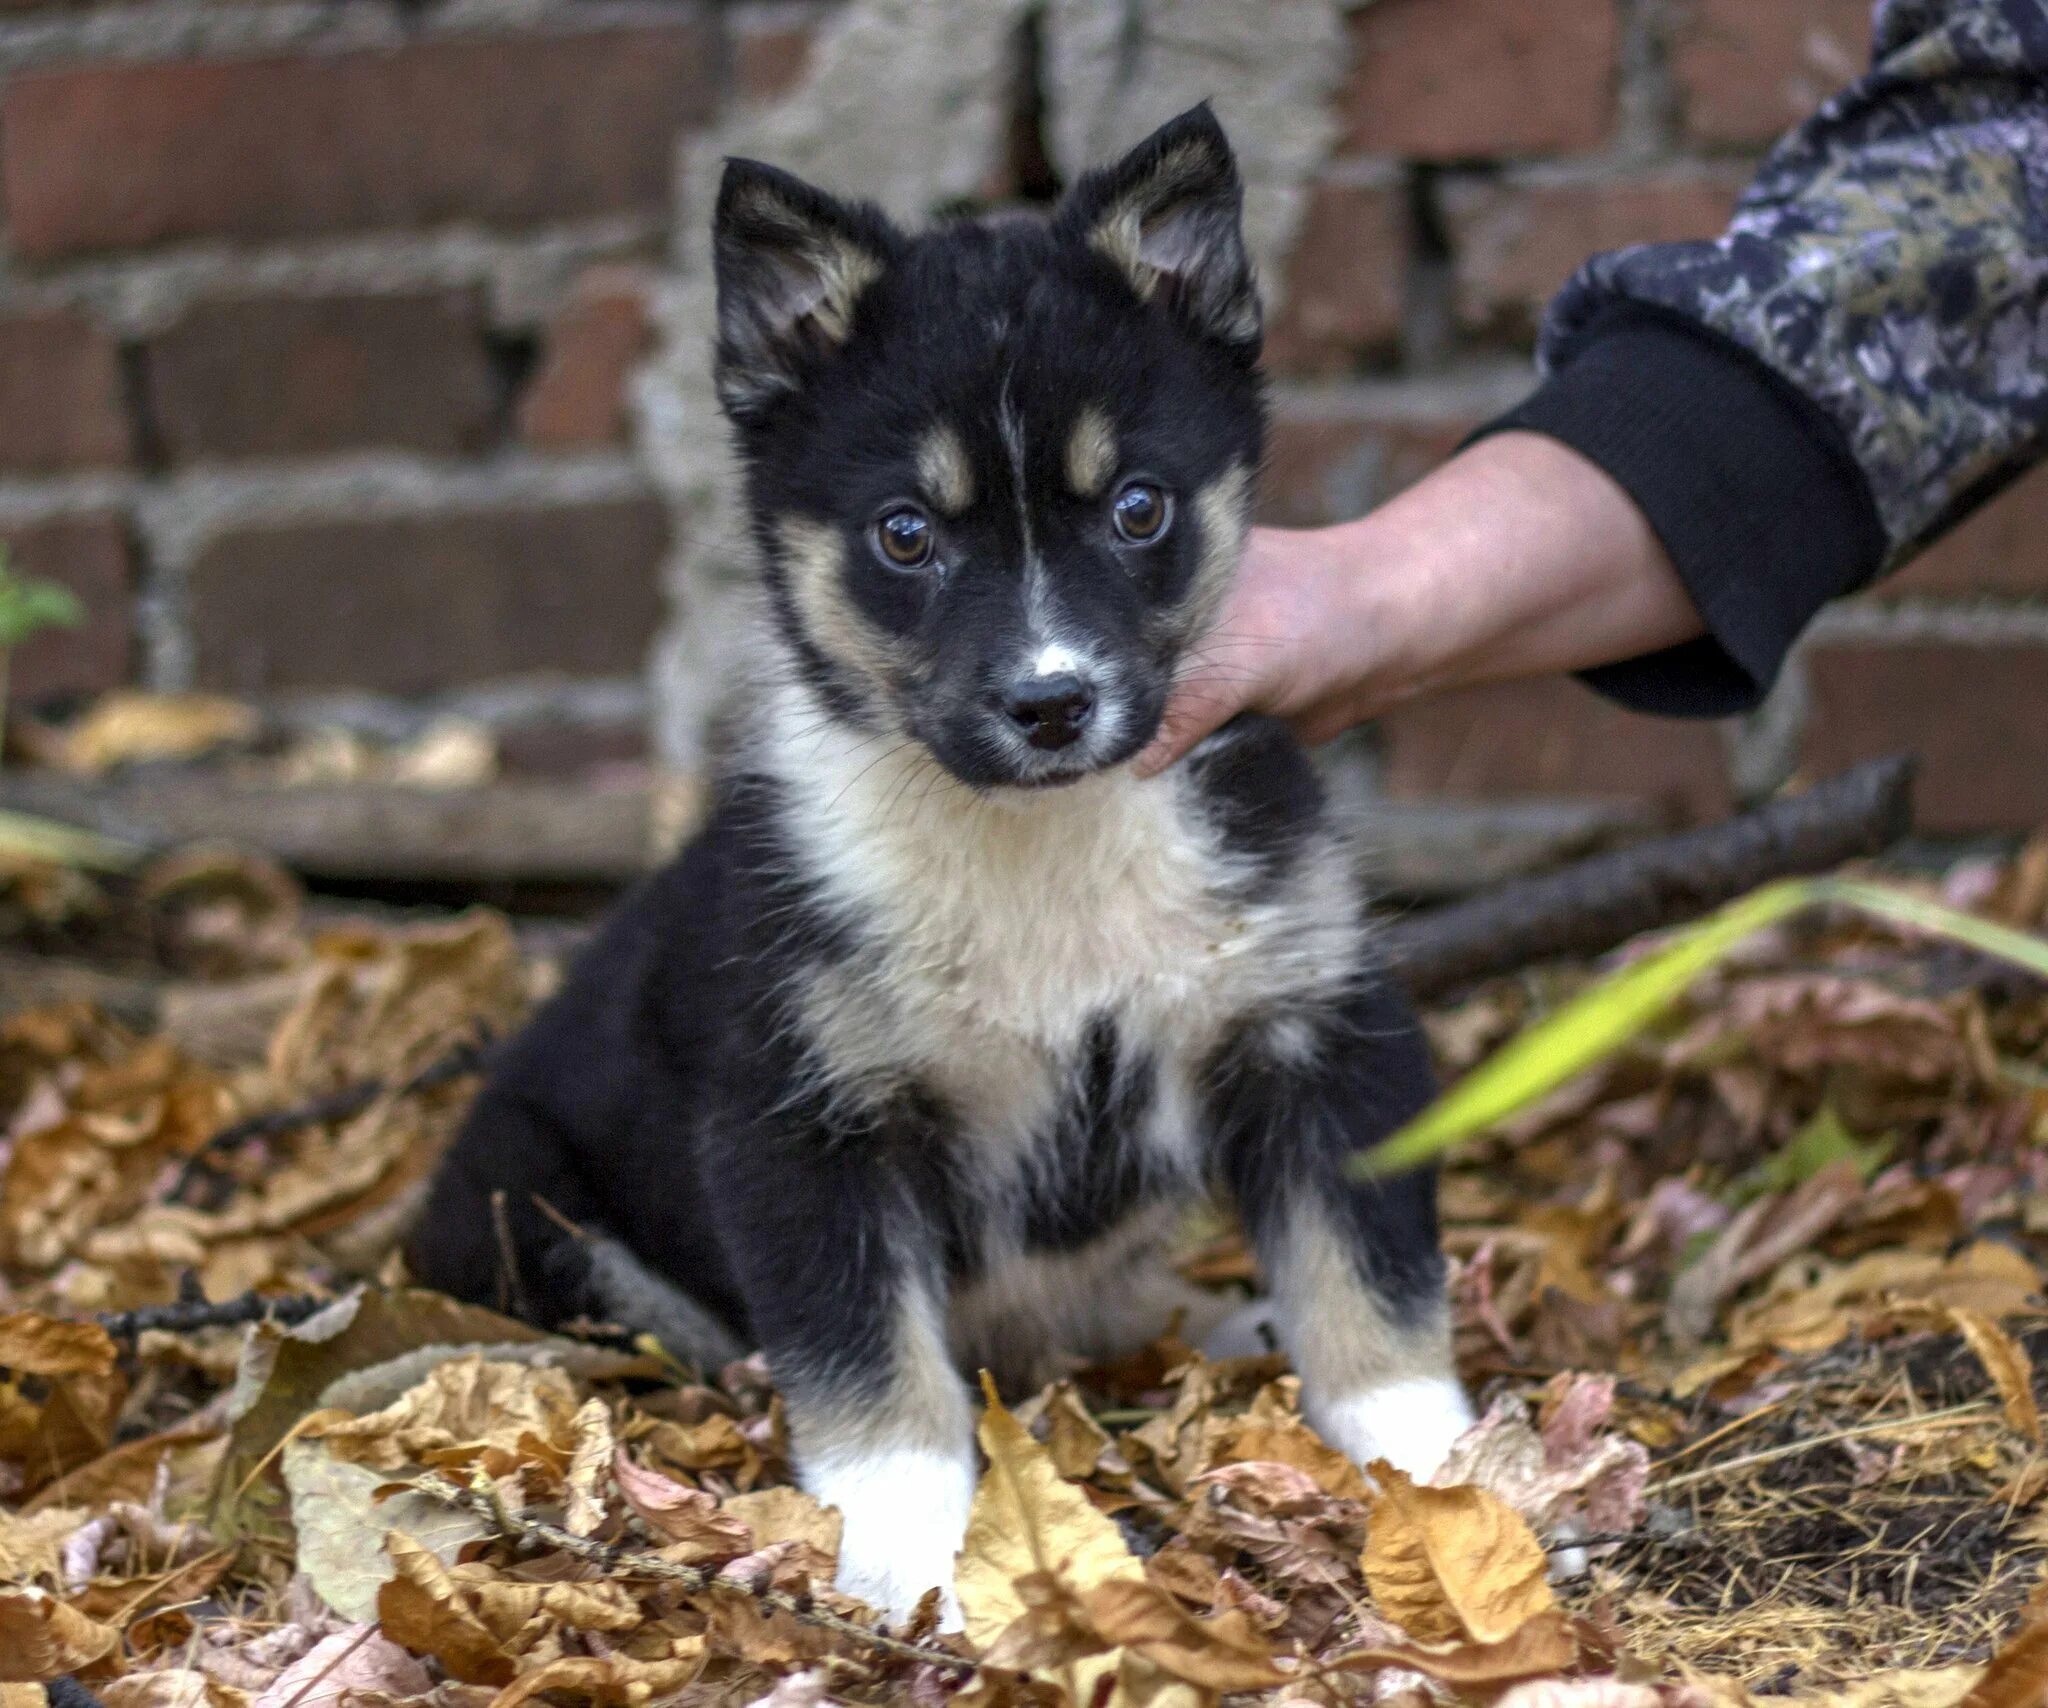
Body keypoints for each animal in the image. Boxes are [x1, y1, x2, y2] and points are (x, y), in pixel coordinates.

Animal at [411, 106, 1474, 1621]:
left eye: (1137, 507)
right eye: (904, 532)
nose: (1051, 704)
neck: (1040, 835)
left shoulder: (1316, 1024)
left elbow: (1369, 1284)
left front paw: (1448, 1485)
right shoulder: (804, 1119)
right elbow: (874, 1373)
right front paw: (904, 1557)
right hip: (524, 1205)